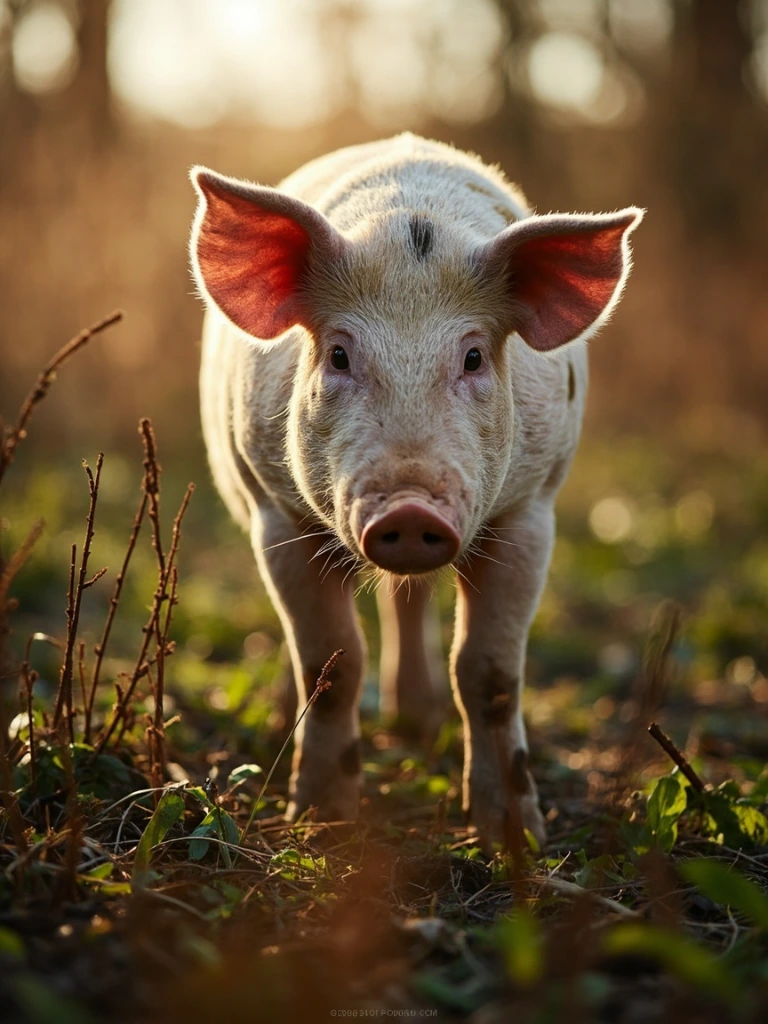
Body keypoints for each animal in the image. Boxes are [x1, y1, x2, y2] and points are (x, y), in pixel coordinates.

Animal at [189, 133, 642, 850]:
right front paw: (320, 821)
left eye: (474, 357)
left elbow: (490, 674)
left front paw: (514, 837)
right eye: (339, 355)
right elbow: (329, 663)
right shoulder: (277, 514)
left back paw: (417, 725)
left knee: (410, 601)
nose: (407, 507)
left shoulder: (529, 510)